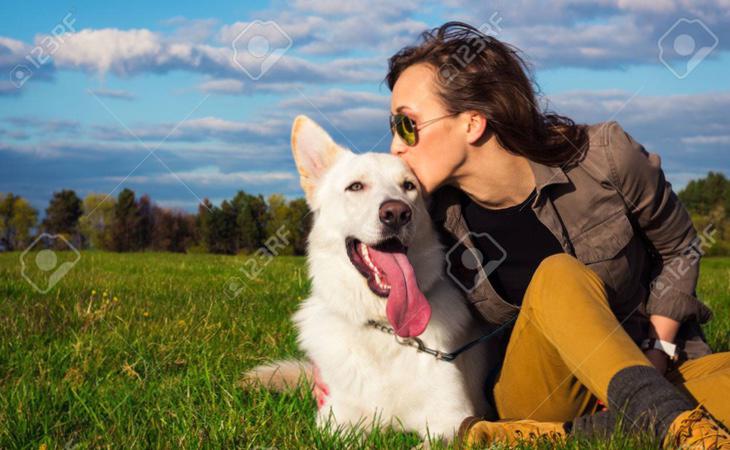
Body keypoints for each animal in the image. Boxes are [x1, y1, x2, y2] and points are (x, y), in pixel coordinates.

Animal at [245, 114, 494, 444]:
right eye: (356, 186)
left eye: (409, 186)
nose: (397, 213)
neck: (384, 327)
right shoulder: (335, 422)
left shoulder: (453, 422)